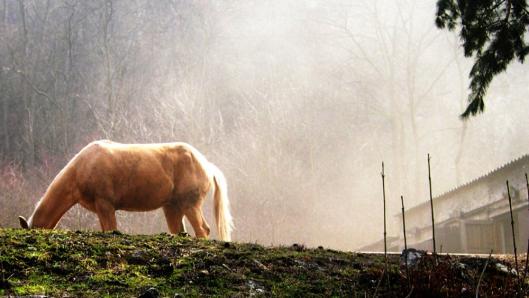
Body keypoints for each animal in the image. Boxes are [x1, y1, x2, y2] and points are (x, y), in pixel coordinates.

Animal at [18, 141, 233, 241]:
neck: (82, 167)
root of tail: (206, 164)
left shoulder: (105, 205)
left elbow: (111, 229)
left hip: (190, 205)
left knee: (203, 230)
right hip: (172, 208)